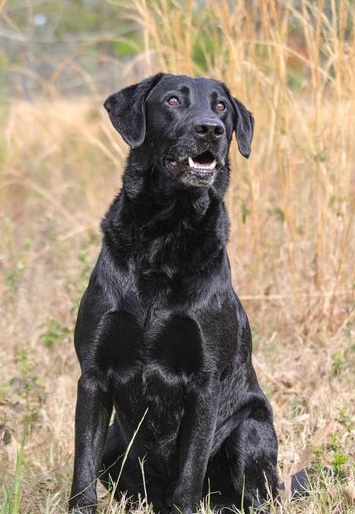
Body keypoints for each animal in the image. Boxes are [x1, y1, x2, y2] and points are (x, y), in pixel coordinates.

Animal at [70, 73, 280, 512]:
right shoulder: (93, 376)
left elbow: (189, 472)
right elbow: (82, 465)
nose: (211, 130)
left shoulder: (205, 384)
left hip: (249, 432)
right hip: (115, 439)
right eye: (171, 101)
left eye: (221, 107)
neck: (165, 237)